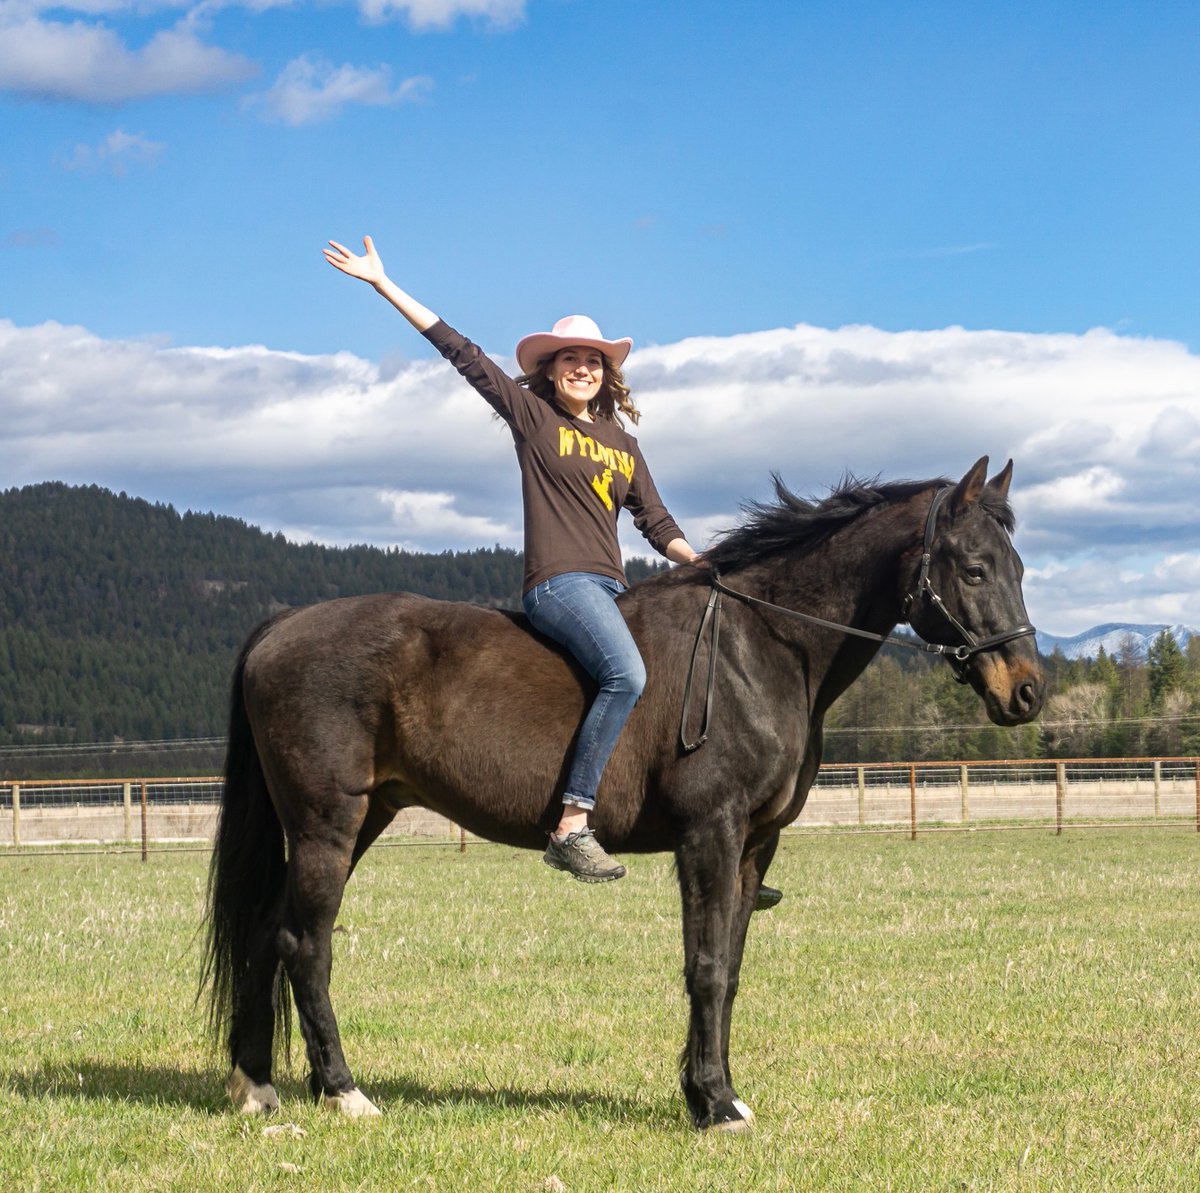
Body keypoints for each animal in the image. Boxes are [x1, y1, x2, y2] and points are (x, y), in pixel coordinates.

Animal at [201, 453, 1046, 1123]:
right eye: (974, 567)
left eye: (1020, 568)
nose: (1028, 692)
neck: (760, 648)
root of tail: (279, 627)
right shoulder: (710, 833)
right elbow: (704, 964)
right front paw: (712, 1103)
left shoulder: (754, 846)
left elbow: (730, 968)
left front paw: (721, 1091)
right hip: (327, 822)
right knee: (304, 943)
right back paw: (344, 1091)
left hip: (360, 816)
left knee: (266, 932)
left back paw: (258, 1086)